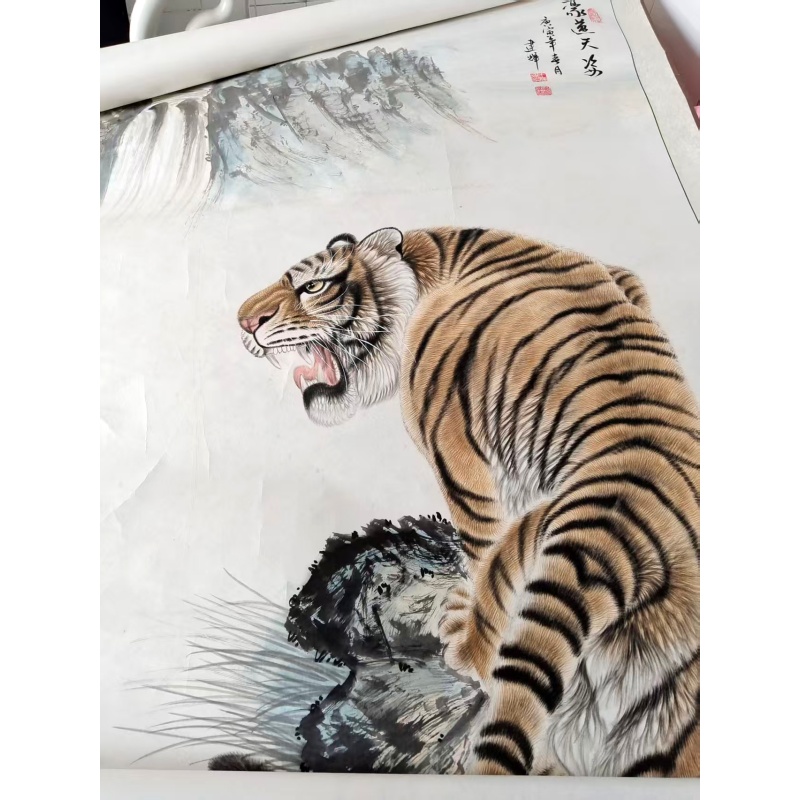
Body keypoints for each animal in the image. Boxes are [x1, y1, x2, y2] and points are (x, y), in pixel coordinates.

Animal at [237, 227, 700, 777]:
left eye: (312, 286)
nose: (243, 321)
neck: (430, 254)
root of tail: (620, 521)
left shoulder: (456, 450)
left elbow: (476, 543)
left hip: (523, 549)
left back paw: (462, 636)